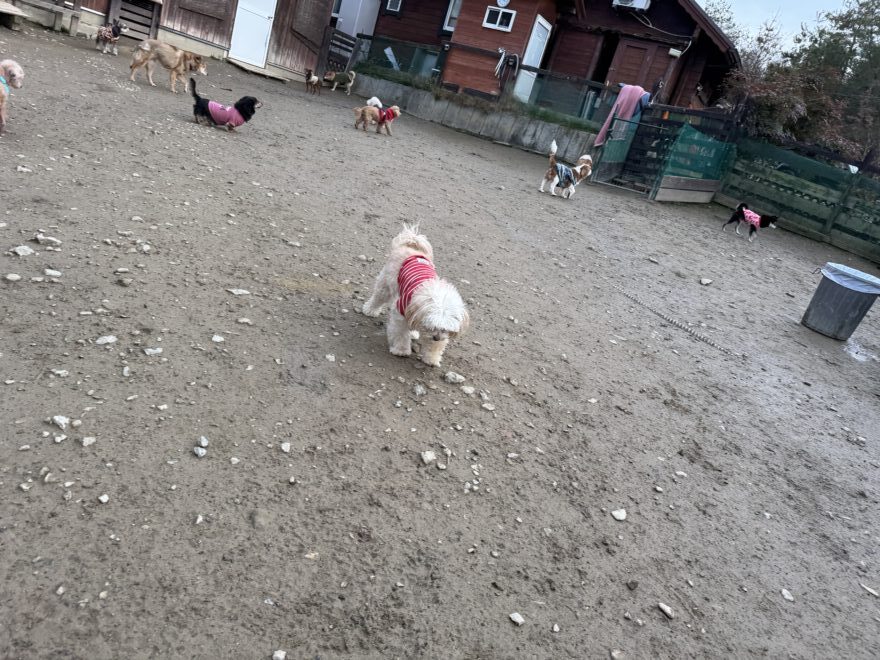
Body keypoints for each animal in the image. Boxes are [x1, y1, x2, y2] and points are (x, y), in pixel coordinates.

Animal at [363, 225, 469, 367]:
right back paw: (370, 310)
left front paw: (431, 358)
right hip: (385, 285)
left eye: (444, 329)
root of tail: (412, 243)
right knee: (378, 298)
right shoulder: (401, 312)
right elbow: (401, 334)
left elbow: (434, 347)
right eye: (432, 326)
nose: (436, 338)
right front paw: (401, 350)